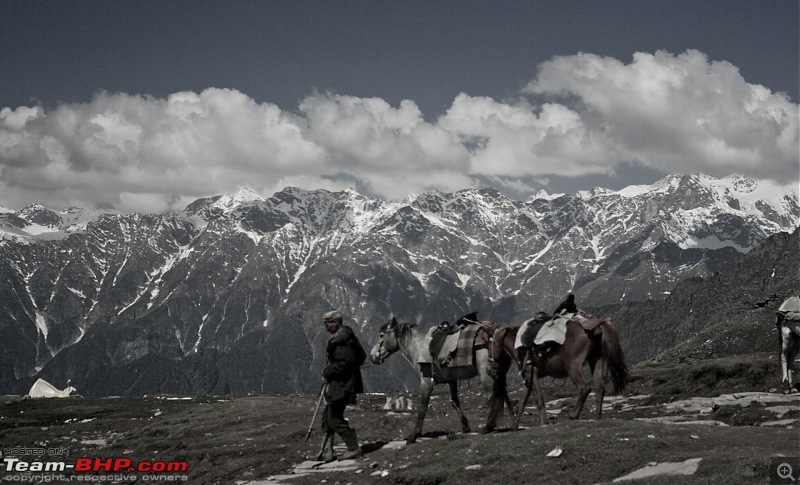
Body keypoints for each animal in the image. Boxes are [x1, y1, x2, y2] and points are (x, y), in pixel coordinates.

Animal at [370, 316, 516, 444]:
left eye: (381, 335)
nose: (372, 356)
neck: (418, 345)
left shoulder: (426, 382)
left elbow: (422, 408)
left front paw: (413, 436)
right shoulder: (451, 380)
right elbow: (454, 402)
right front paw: (465, 426)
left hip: (486, 375)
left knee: (493, 397)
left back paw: (488, 427)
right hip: (499, 374)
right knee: (503, 396)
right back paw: (513, 421)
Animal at [494, 316, 632, 426]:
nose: (494, 364)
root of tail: (595, 328)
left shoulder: (531, 373)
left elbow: (539, 398)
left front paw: (544, 422)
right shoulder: (528, 378)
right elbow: (522, 402)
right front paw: (515, 426)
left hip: (573, 367)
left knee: (584, 387)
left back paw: (573, 415)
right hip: (596, 361)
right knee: (600, 389)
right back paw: (597, 416)